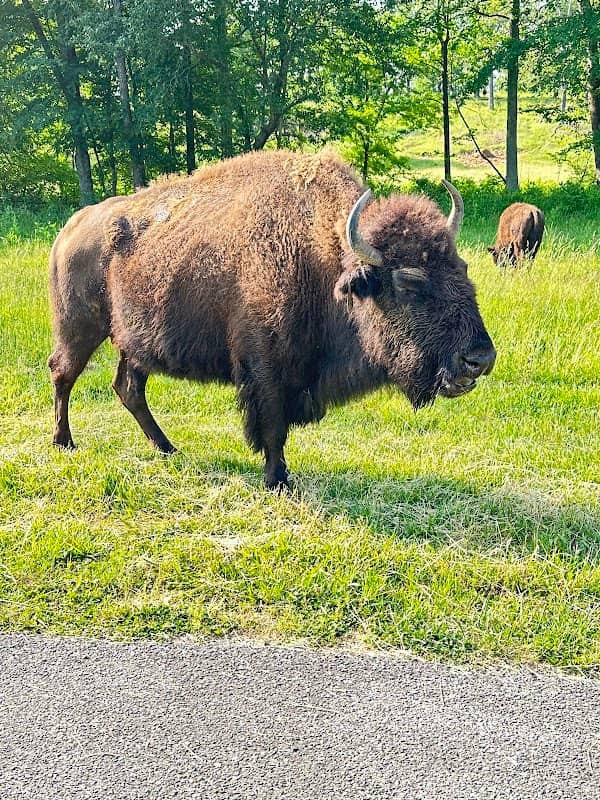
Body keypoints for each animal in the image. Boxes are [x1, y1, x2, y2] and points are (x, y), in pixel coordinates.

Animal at [49, 150, 496, 489]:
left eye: (462, 268)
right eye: (409, 282)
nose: (479, 359)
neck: (323, 262)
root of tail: (71, 226)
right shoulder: (266, 369)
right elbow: (273, 426)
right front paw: (277, 480)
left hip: (133, 342)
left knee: (128, 388)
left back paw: (167, 448)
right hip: (80, 328)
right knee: (62, 373)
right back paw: (64, 442)